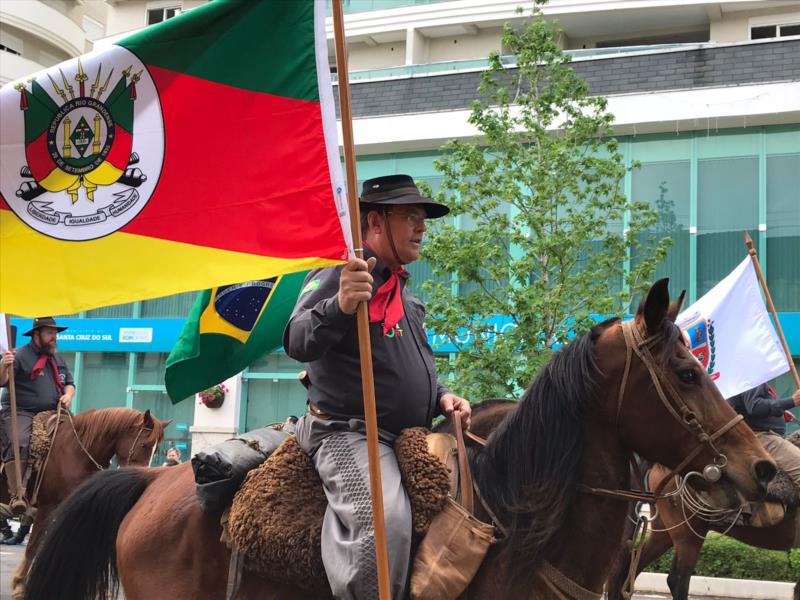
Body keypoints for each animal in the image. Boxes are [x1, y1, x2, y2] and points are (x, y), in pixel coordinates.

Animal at [2, 408, 169, 600]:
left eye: (156, 450)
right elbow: (33, 545)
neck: (77, 453)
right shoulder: (48, 506)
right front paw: (20, 586)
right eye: (144, 445)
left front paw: (98, 591)